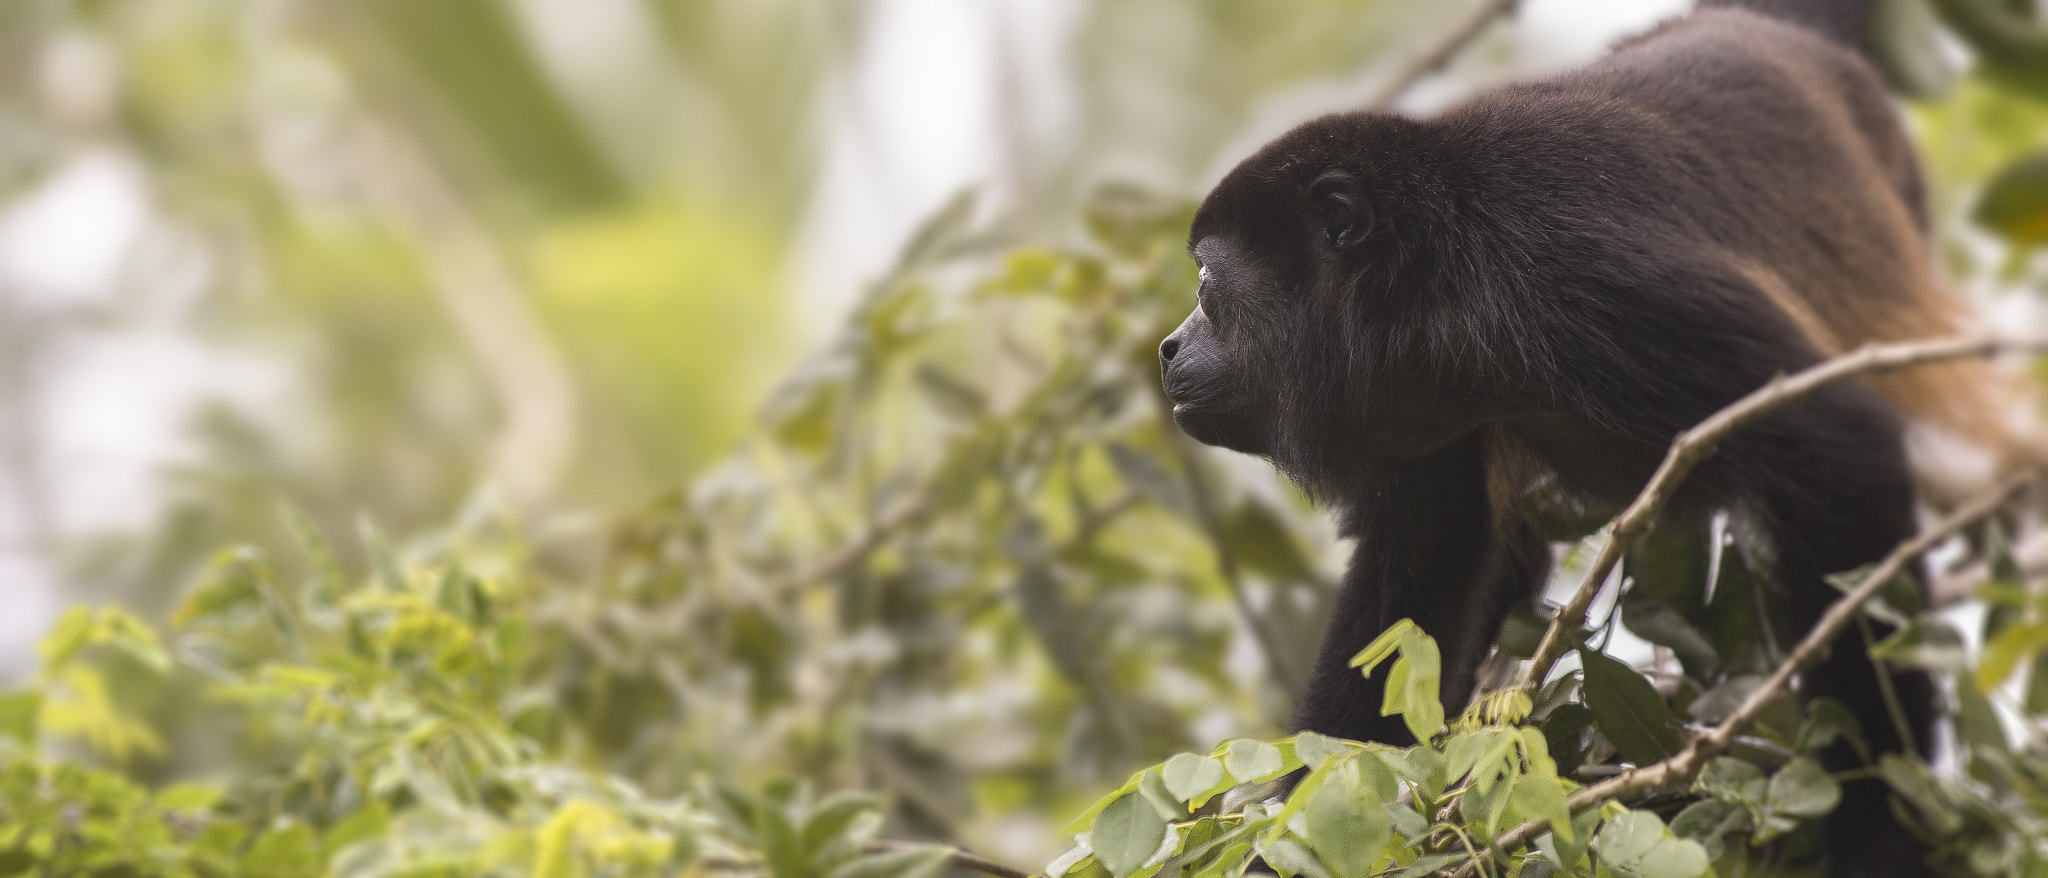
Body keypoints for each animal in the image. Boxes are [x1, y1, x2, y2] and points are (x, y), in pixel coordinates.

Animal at [1156, 1, 2033, 875]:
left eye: (1205, 282)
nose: (1167, 348)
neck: (1440, 292)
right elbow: (1430, 559)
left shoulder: (1578, 280)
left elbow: (1836, 443)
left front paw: (1878, 835)